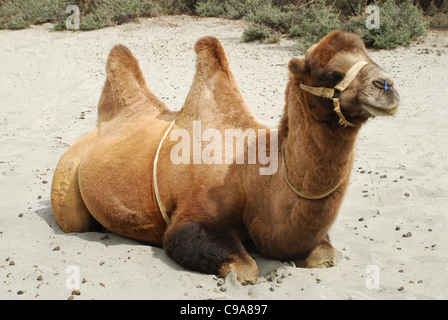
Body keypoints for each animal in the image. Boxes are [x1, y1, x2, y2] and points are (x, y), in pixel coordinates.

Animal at [50, 31, 400, 284]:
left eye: (370, 56)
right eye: (331, 73)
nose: (387, 85)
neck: (253, 174)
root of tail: (99, 126)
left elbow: (325, 256)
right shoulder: (190, 215)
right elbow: (245, 270)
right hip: (67, 176)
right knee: (74, 222)